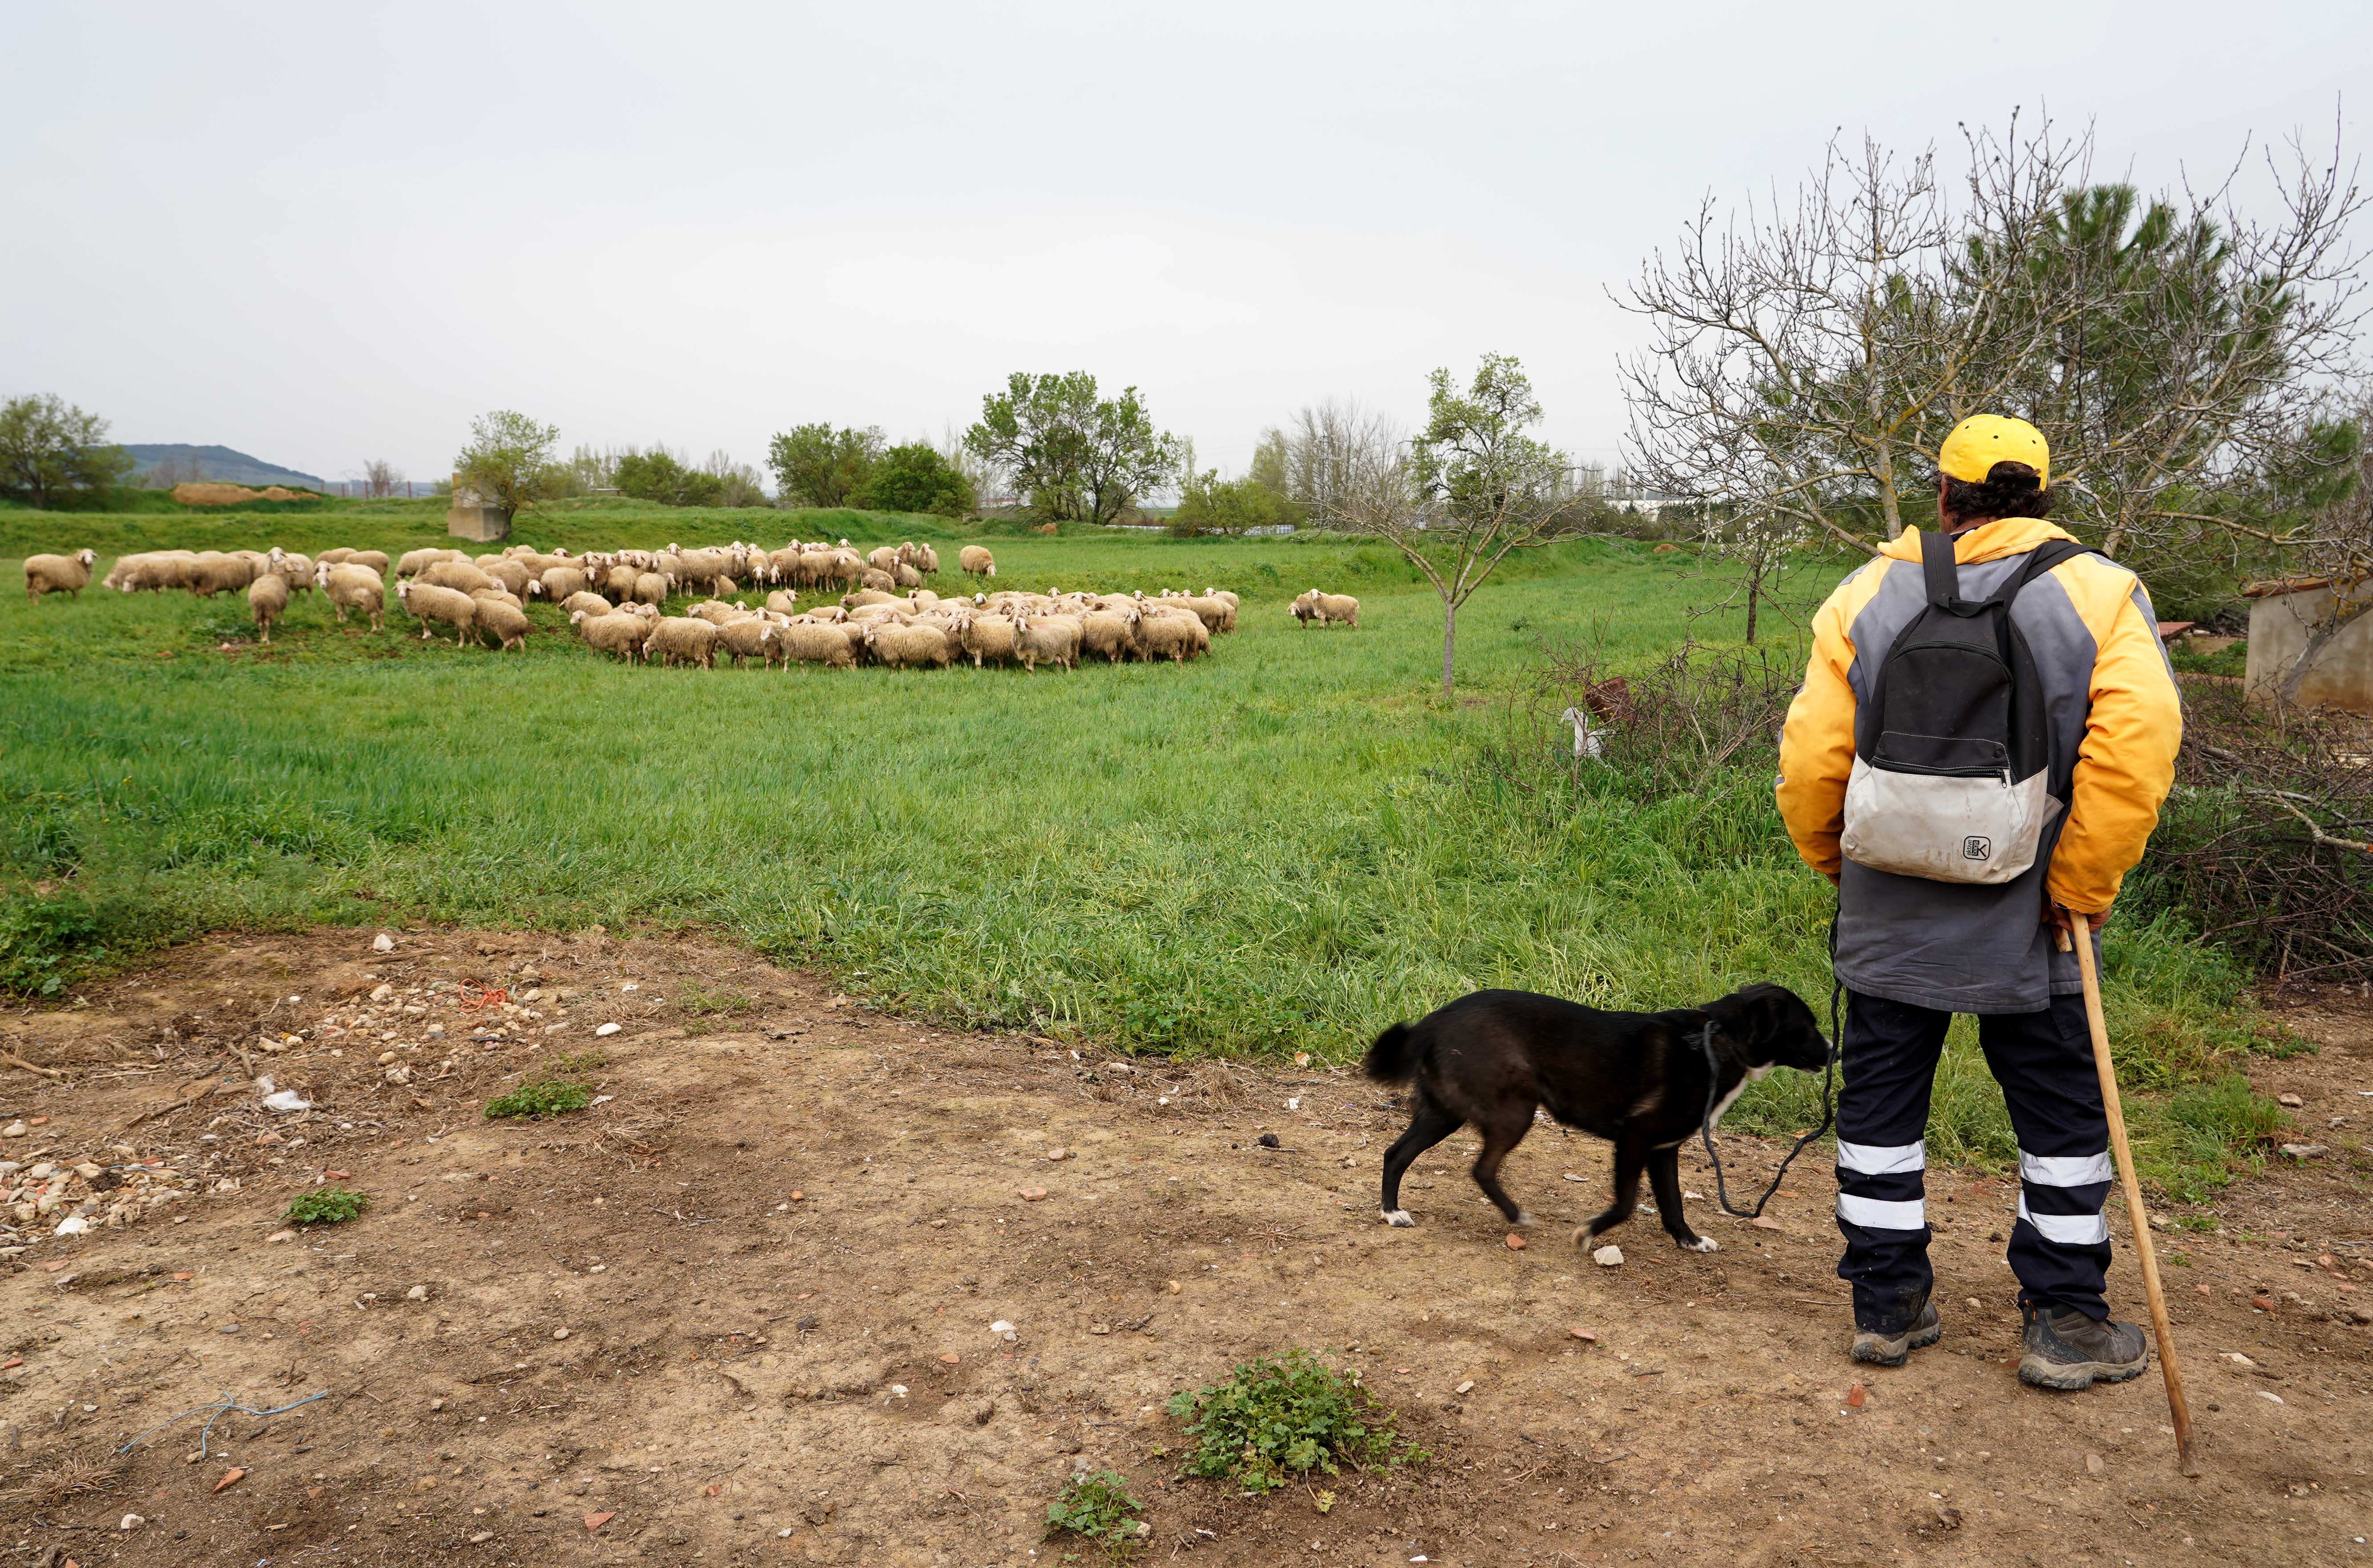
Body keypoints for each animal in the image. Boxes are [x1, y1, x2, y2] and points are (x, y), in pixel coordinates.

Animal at [245, 571, 289, 640]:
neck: (275, 574)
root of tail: (260, 599)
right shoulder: (283, 603)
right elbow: (282, 613)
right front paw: (282, 623)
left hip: (257, 612)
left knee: (260, 625)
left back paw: (262, 639)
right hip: (269, 610)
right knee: (266, 624)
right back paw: (266, 640)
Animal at [315, 560, 384, 626]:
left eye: (327, 567)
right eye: (318, 568)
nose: (322, 572)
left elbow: (341, 610)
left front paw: (341, 621)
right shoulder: (342, 597)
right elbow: (343, 610)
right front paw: (345, 620)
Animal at [393, 581, 477, 640]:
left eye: (406, 588)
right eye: (397, 588)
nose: (402, 595)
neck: (414, 594)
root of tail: (473, 605)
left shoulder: (424, 612)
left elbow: (424, 624)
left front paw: (425, 636)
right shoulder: (426, 613)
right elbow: (426, 624)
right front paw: (429, 634)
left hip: (462, 618)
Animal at [645, 612, 716, 669]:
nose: (647, 659)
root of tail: (711, 630)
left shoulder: (665, 648)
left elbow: (665, 660)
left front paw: (664, 669)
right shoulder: (678, 650)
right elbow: (678, 661)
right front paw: (679, 669)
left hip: (700, 647)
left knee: (705, 660)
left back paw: (706, 672)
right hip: (708, 648)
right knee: (710, 658)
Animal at [1367, 987, 1822, 1252]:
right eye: (1807, 1028)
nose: (1833, 1050)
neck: (1715, 1040)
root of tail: (1433, 1022)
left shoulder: (1664, 1148)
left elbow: (1673, 1204)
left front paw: (1690, 1241)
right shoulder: (1634, 1138)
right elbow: (1625, 1203)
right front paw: (1588, 1233)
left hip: (1444, 1112)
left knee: (1395, 1154)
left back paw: (1392, 1212)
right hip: (1513, 1112)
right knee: (1481, 1169)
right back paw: (1515, 1217)